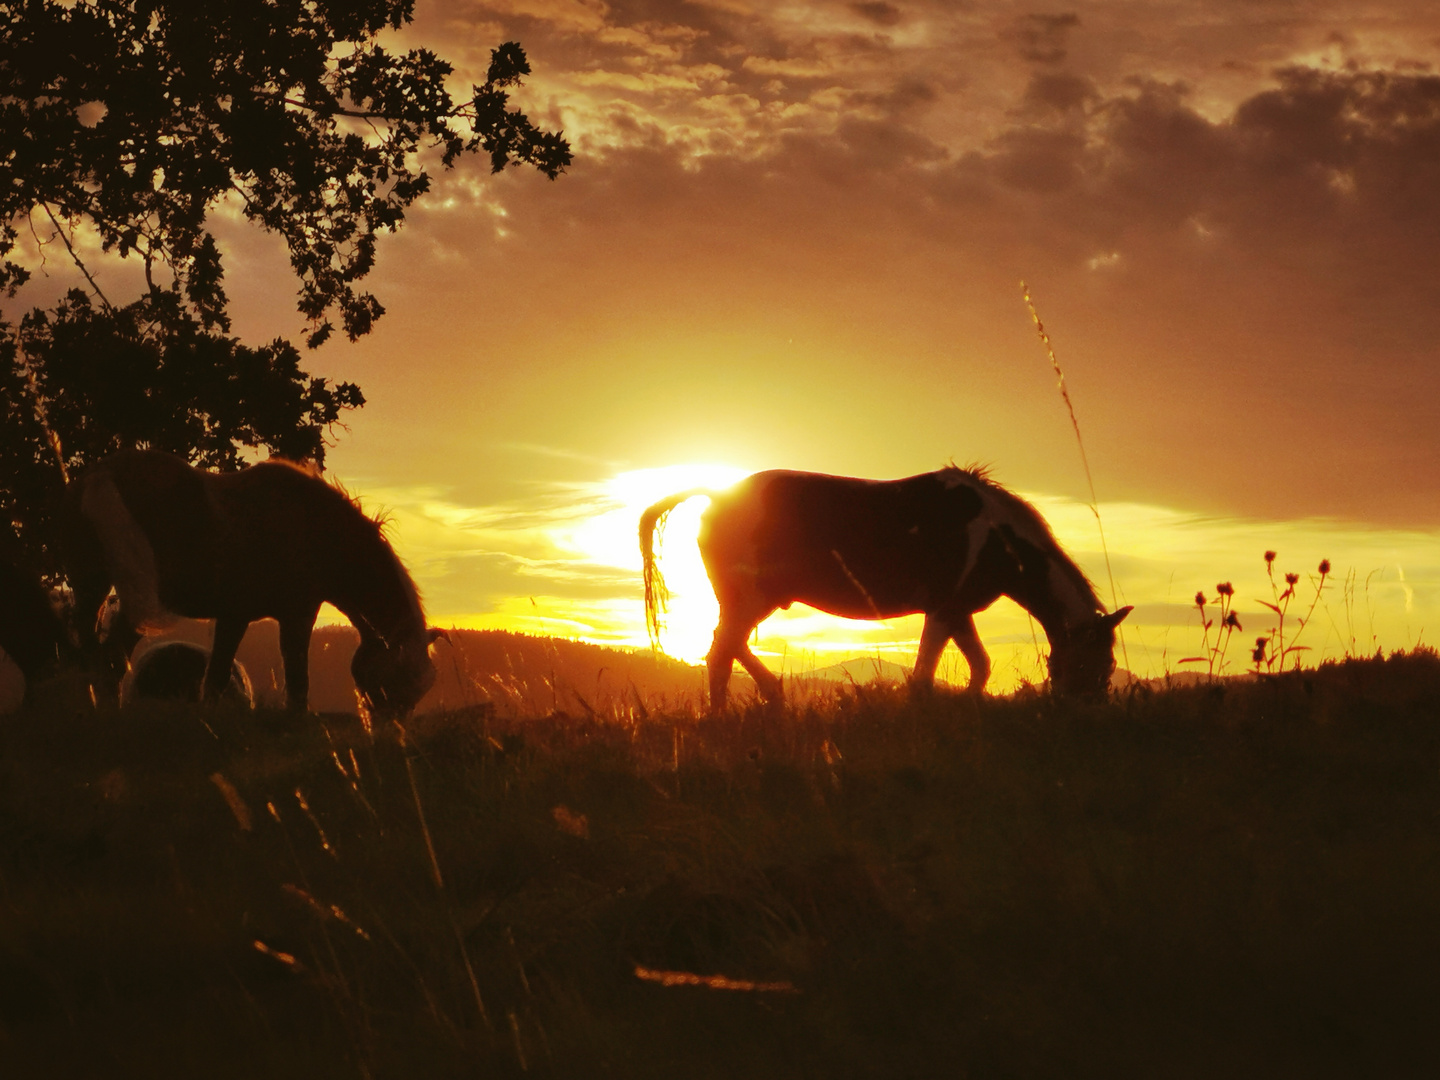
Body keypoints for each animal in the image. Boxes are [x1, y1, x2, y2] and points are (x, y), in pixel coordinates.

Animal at [63, 449, 443, 720]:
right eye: (397, 680)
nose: (390, 732)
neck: (313, 527)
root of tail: (103, 474)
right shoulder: (289, 615)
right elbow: (293, 676)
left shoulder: (236, 617)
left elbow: (217, 678)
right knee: (111, 655)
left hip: (93, 587)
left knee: (92, 649)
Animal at [639, 463, 1123, 711]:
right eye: (1092, 664)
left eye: (1109, 666)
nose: (1086, 711)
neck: (993, 536)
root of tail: (718, 495)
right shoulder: (943, 610)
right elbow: (925, 677)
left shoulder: (957, 611)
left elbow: (980, 667)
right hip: (750, 598)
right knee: (721, 652)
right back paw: (721, 718)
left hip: (754, 599)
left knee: (728, 645)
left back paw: (773, 697)